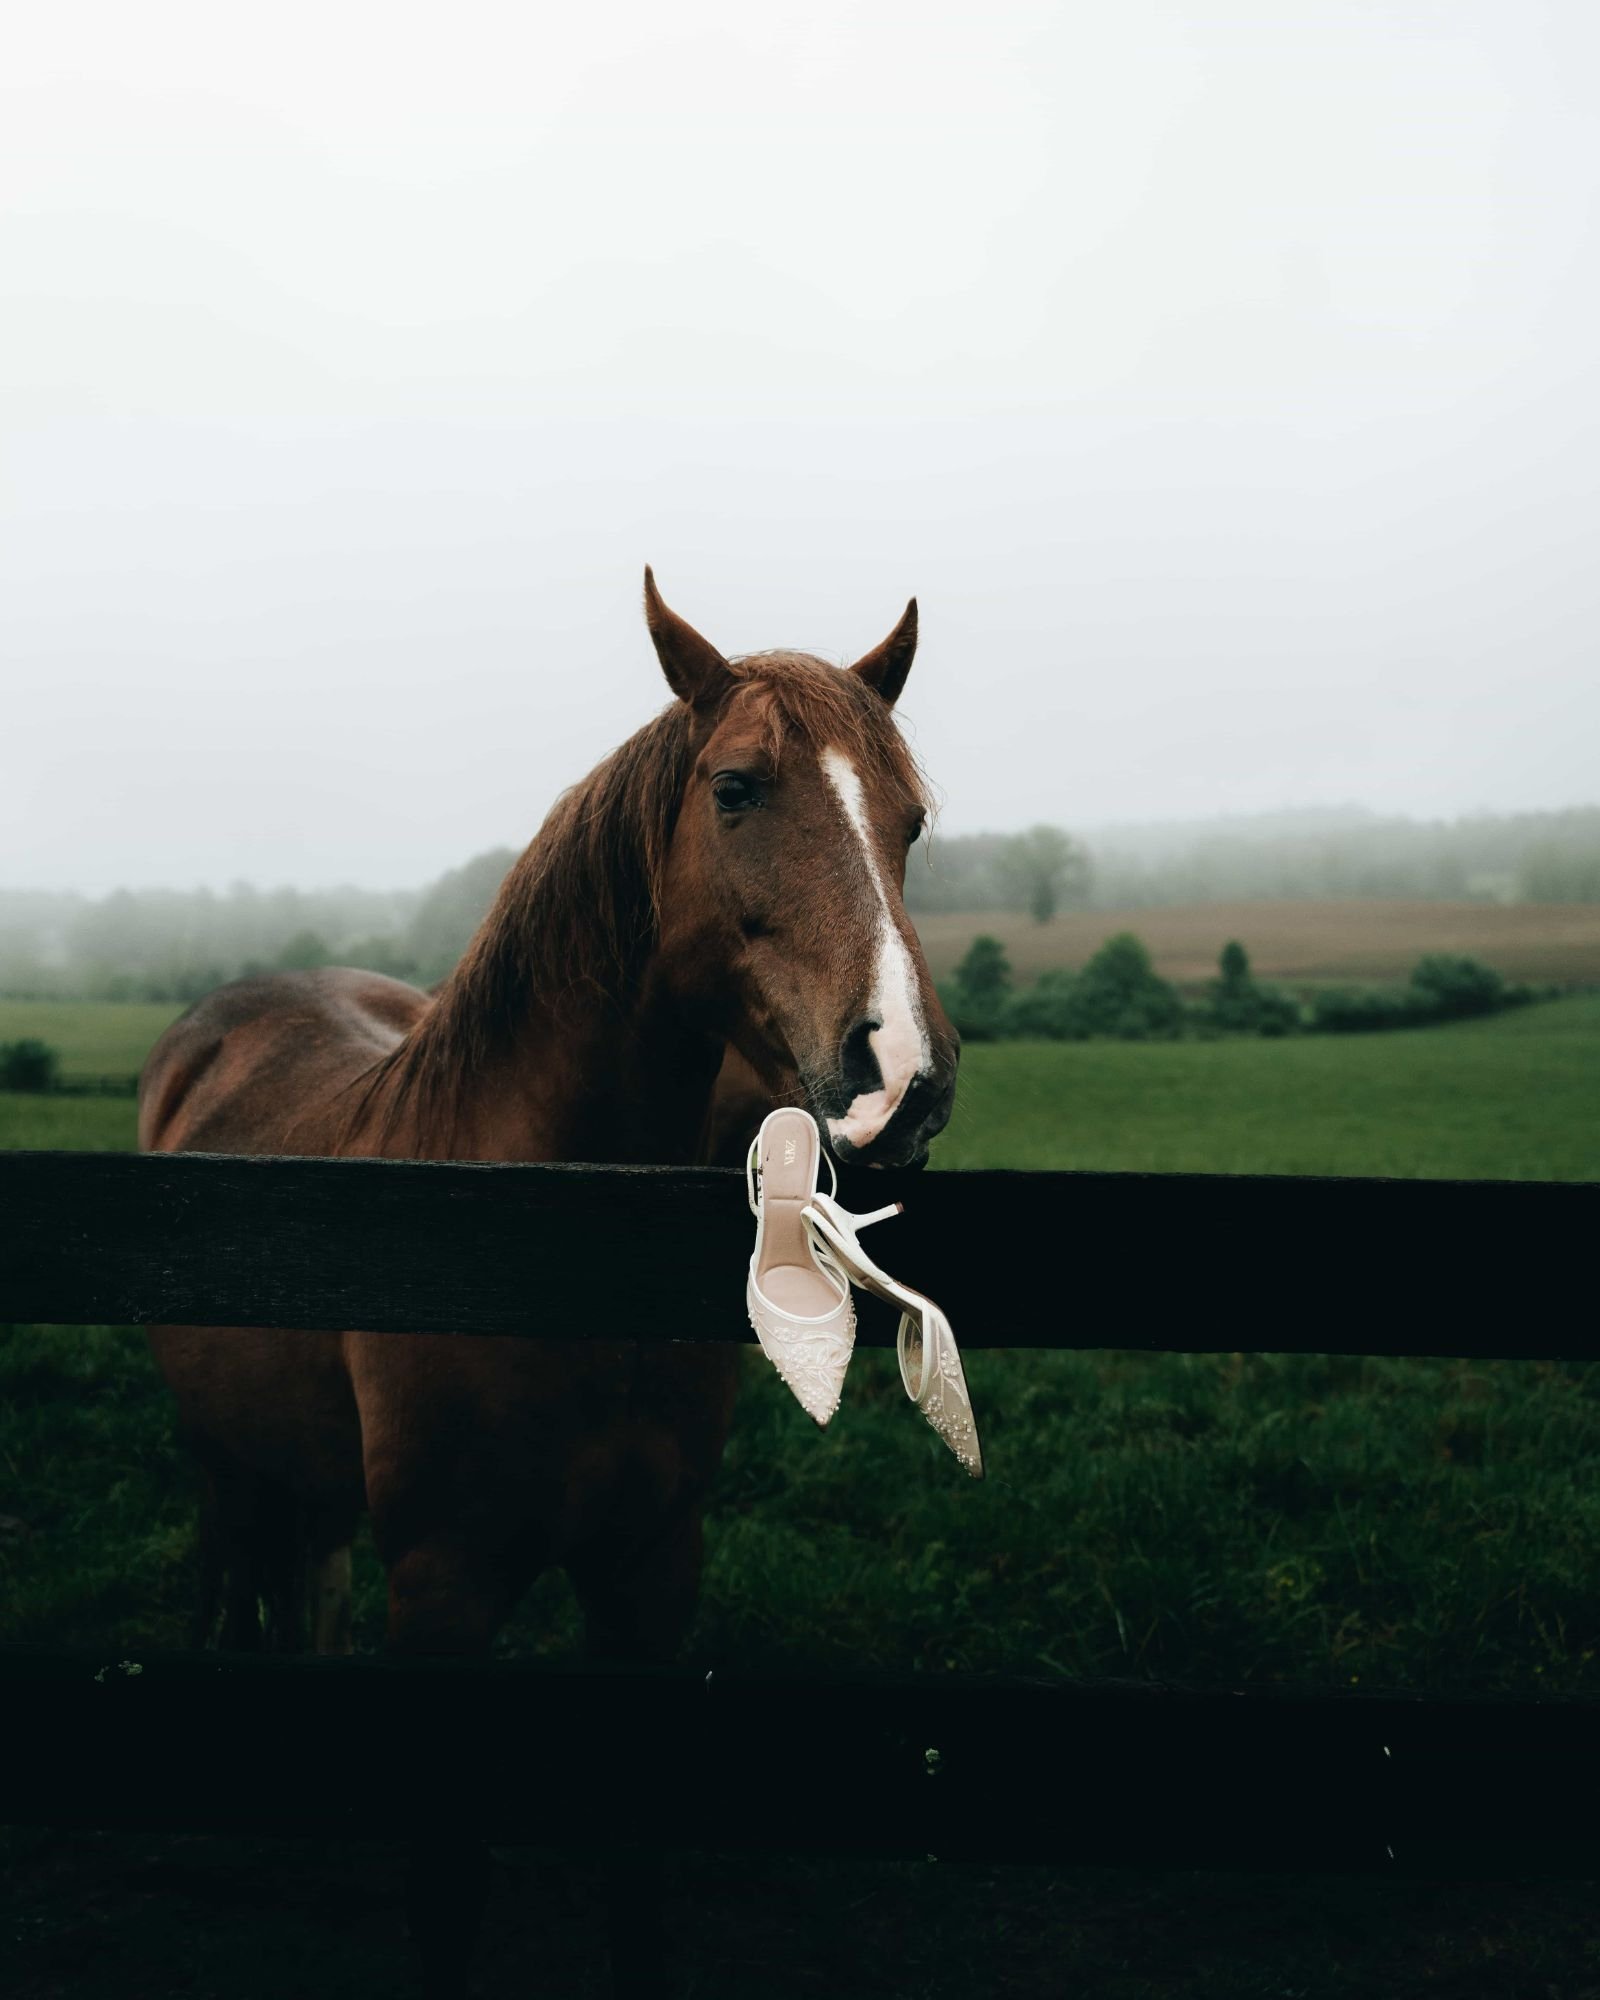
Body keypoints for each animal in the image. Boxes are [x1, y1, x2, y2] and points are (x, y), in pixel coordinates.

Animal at [140, 571, 960, 1672]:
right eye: (734, 787)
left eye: (907, 822)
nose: (903, 1075)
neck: (546, 1237)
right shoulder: (443, 1582)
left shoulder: (650, 1568)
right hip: (227, 1469)